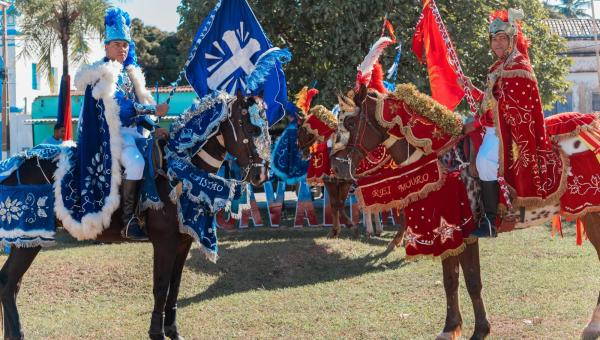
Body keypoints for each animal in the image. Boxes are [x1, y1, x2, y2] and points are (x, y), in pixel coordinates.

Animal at [0, 93, 268, 340]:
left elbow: (174, 287)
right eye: (251, 127)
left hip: (25, 240)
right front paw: (156, 332)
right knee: (9, 281)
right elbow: (160, 287)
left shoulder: (183, 242)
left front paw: (173, 331)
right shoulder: (164, 243)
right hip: (29, 236)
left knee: (10, 283)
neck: (180, 173)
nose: (261, 175)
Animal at [330, 83, 600, 338]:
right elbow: (451, 281)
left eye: (351, 122)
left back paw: (591, 327)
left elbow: (472, 281)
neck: (442, 160)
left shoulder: (463, 232)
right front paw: (450, 328)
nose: (336, 167)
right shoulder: (447, 235)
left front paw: (480, 329)